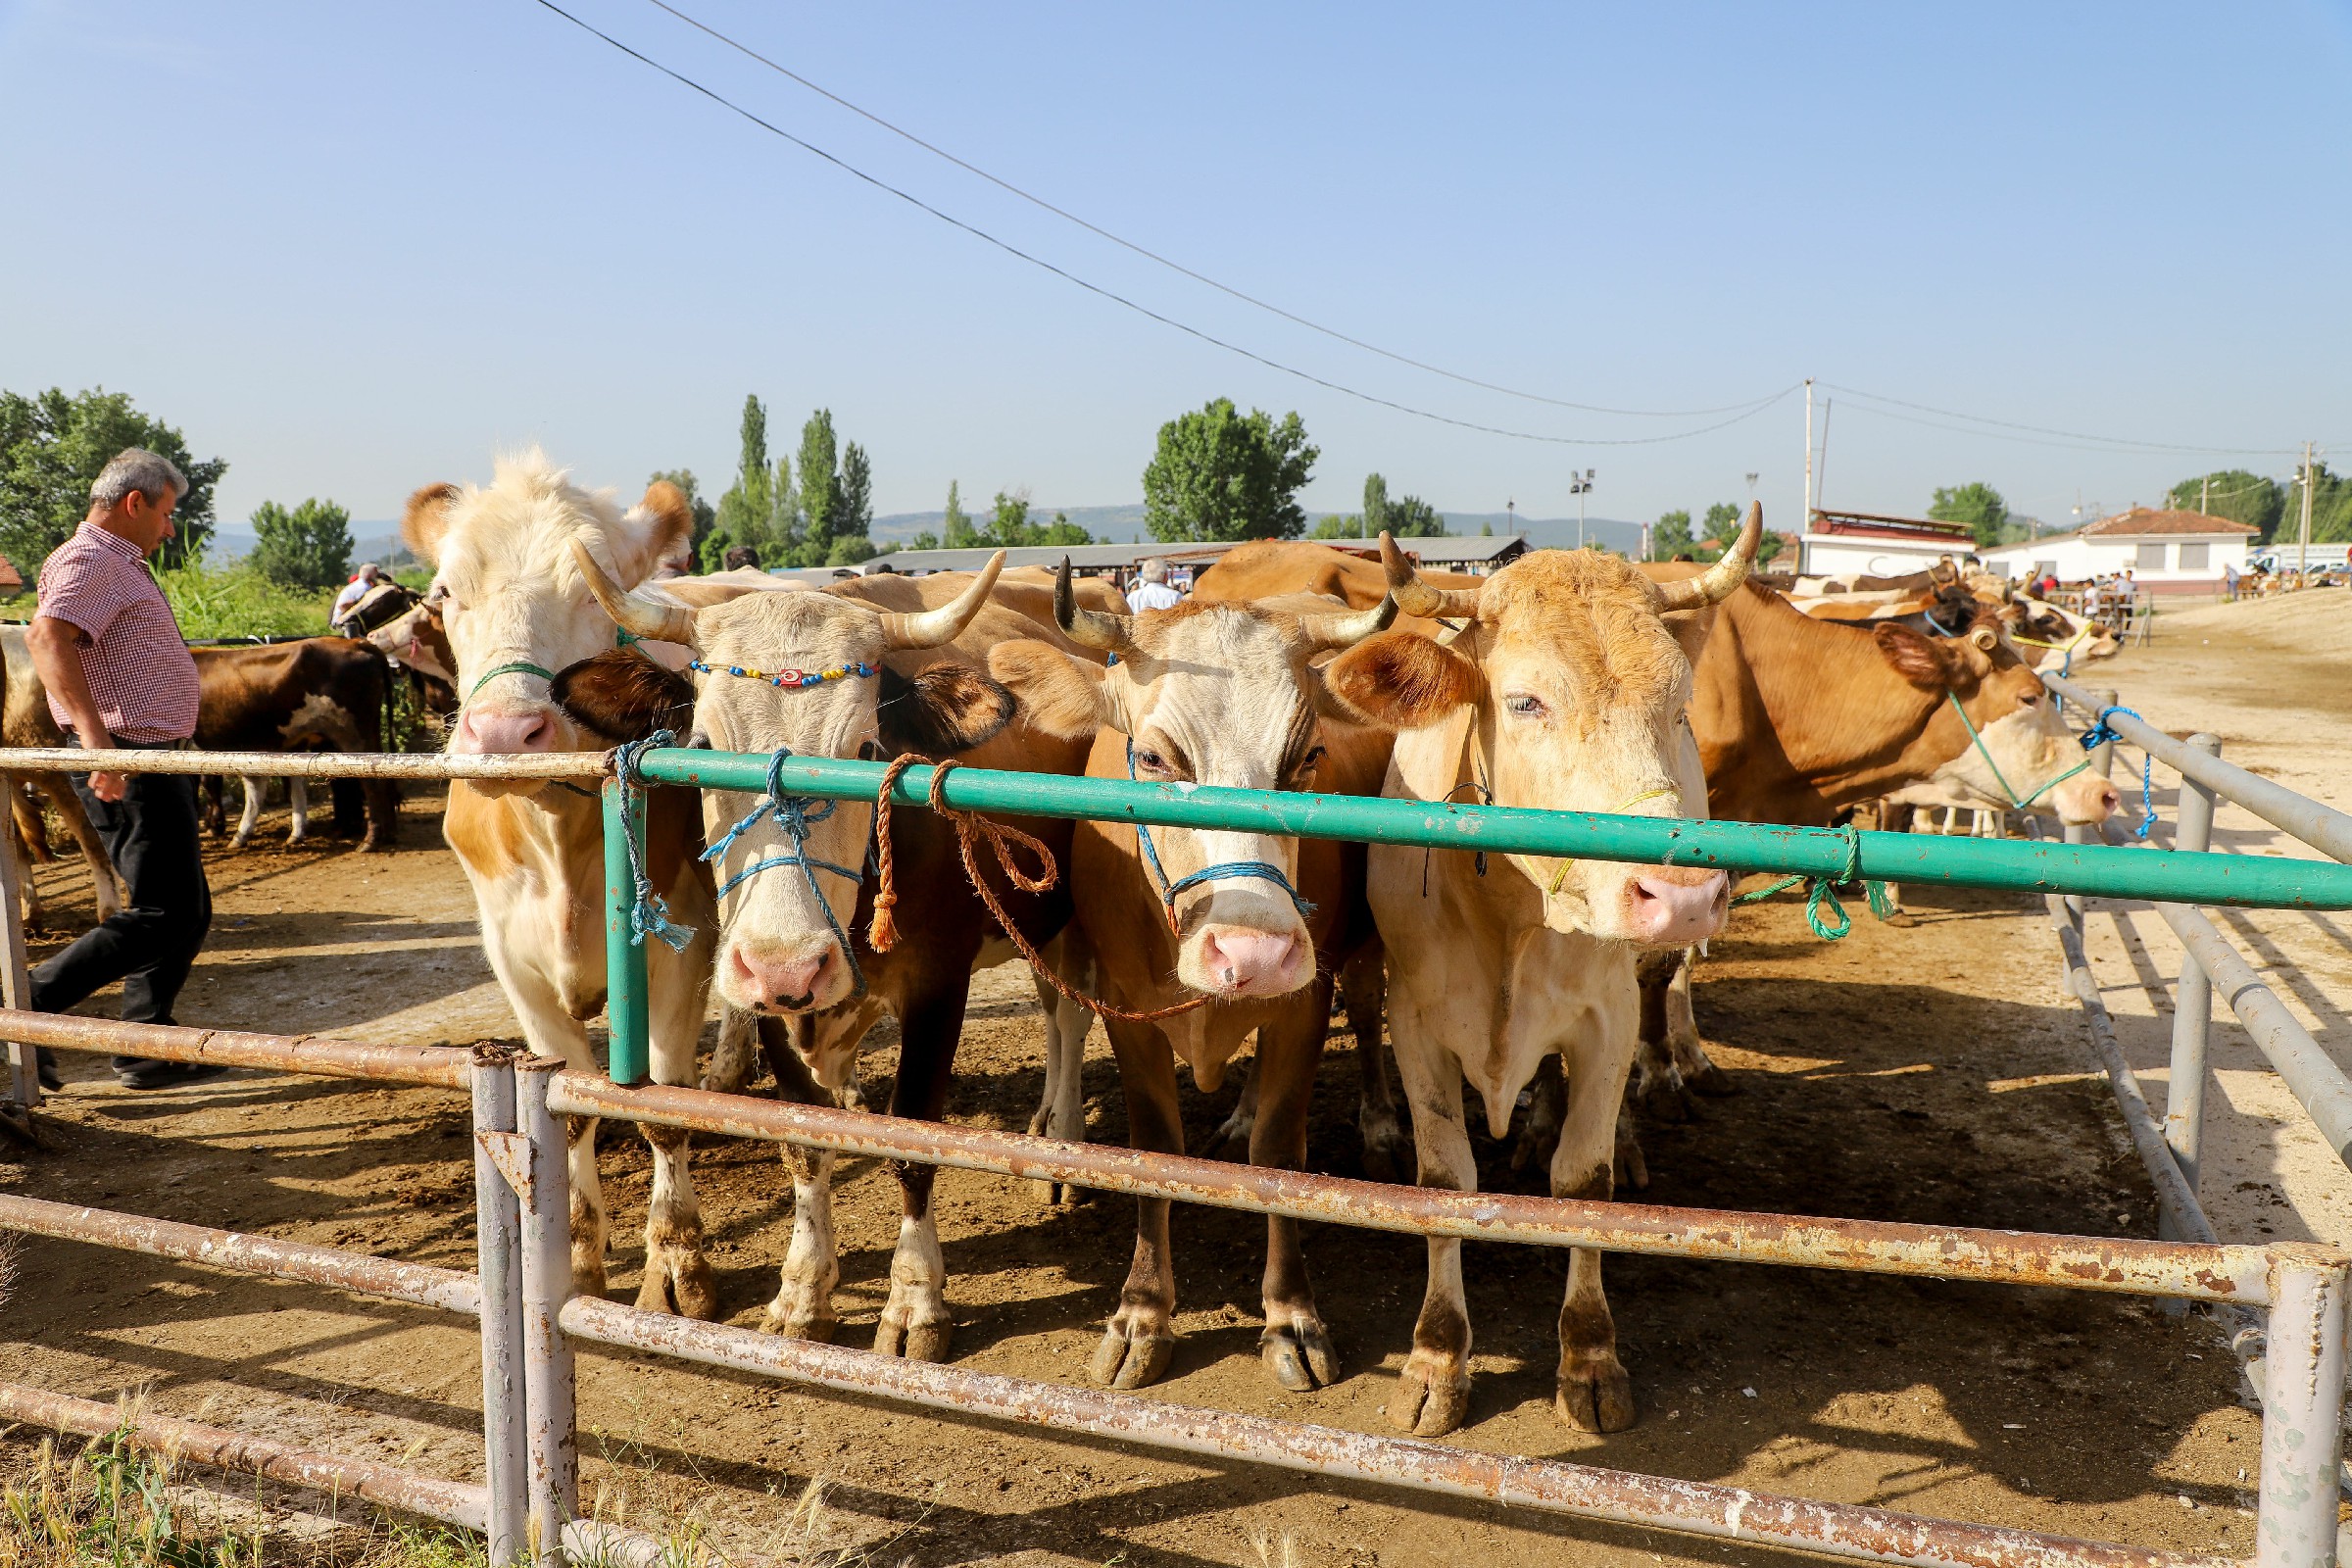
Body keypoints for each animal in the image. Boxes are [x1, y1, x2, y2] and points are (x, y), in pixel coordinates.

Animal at [192, 639, 400, 851]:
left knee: (371, 784)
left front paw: (214, 825)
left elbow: (208, 784)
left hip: (353, 738)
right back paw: (385, 833)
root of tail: (357, 642)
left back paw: (370, 839)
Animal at [560, 545, 1091, 1353]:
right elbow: (804, 1137)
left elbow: (913, 1139)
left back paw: (1060, 1145)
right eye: (703, 749)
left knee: (1069, 1019)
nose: (788, 964)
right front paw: (805, 1289)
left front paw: (914, 1303)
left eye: (867, 749)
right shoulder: (767, 1000)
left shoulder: (940, 984)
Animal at [1326, 514, 1768, 1439]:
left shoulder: (1603, 1022)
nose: (1681, 895)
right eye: (1527, 701)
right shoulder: (1415, 1021)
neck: (1509, 915)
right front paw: (1437, 1357)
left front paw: (1590, 1357)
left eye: (1678, 705)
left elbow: (1582, 1182)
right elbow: (1443, 1183)